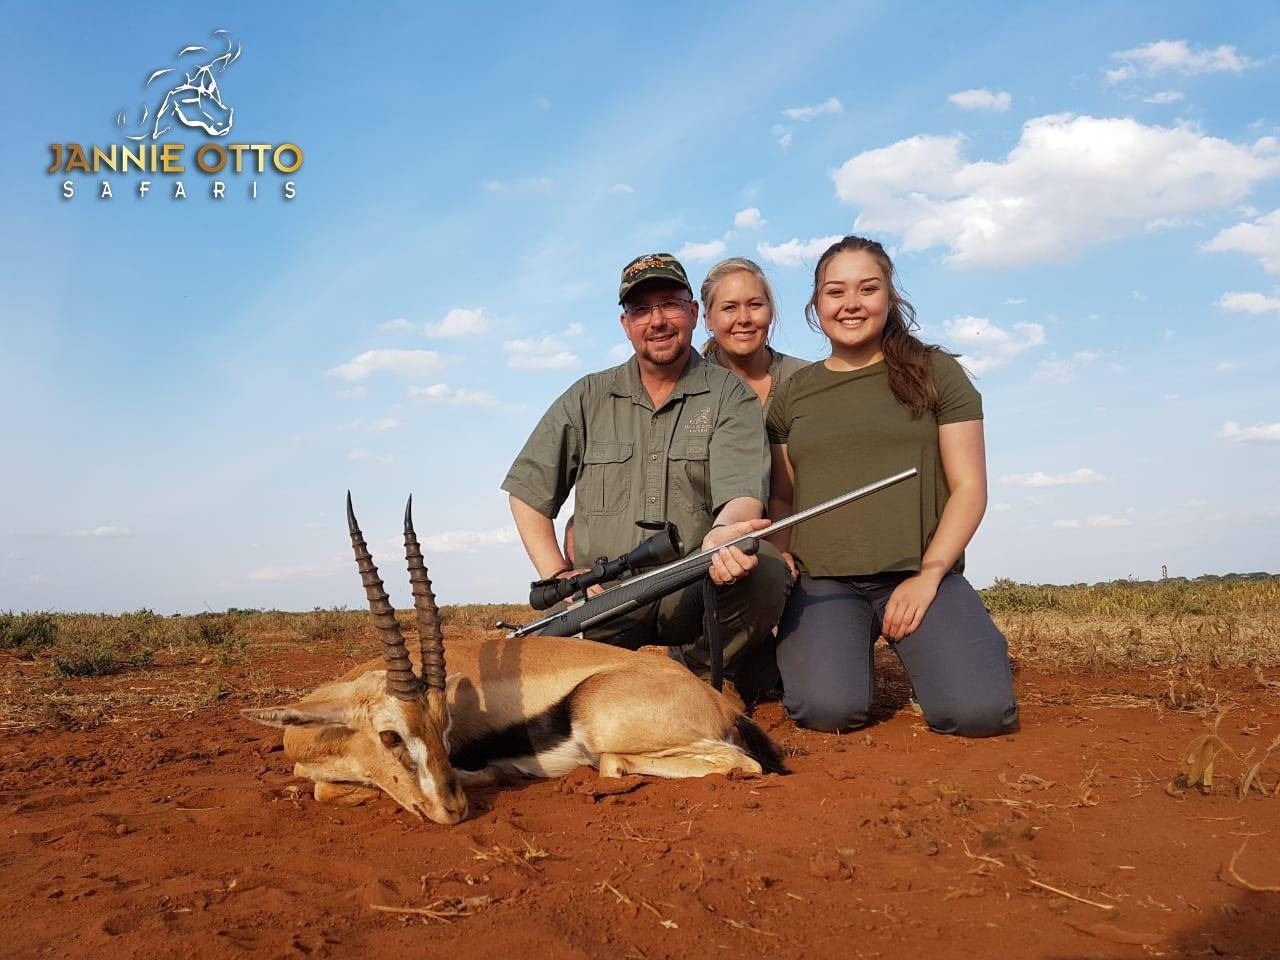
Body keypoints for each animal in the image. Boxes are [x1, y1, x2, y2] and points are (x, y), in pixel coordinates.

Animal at [241, 496, 787, 825]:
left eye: (444, 728)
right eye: (391, 735)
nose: (452, 809)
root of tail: (718, 701)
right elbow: (316, 784)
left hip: (605, 728)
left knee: (728, 763)